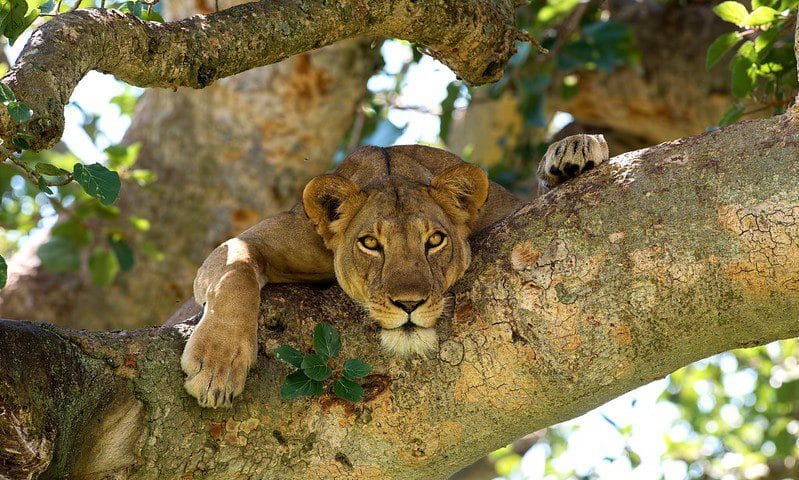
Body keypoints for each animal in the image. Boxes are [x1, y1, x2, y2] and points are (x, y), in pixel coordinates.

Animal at [182, 134, 609, 408]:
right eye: (370, 243)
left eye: (434, 240)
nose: (409, 304)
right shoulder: (255, 243)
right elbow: (235, 272)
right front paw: (217, 366)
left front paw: (575, 151)